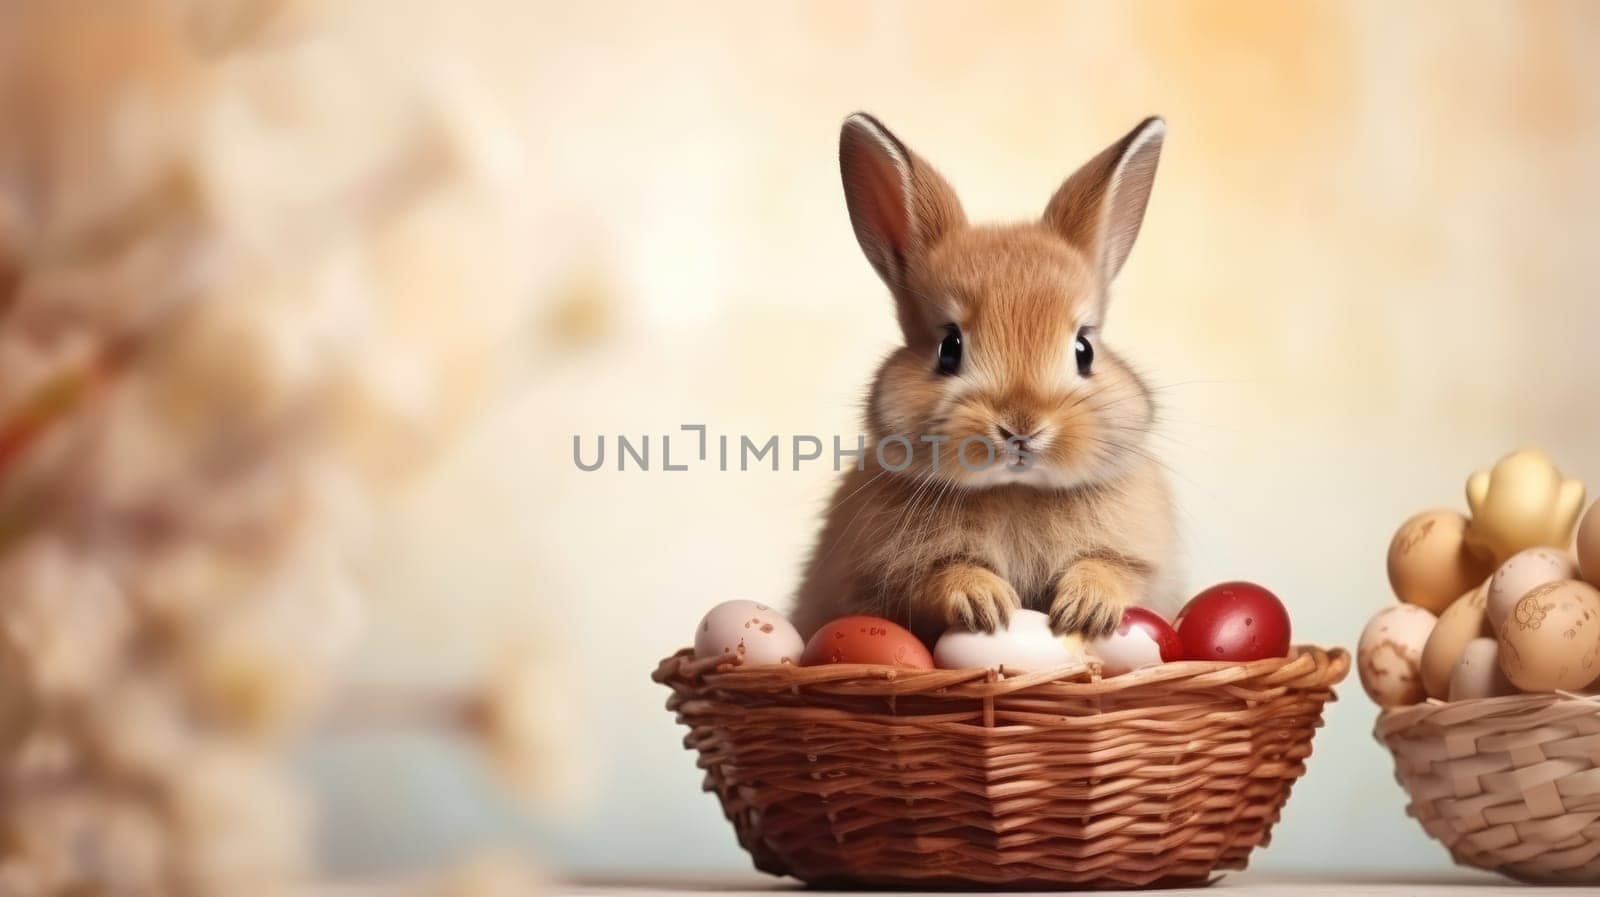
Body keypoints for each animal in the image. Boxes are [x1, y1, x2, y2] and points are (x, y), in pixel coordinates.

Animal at [793, 113, 1184, 642]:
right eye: (949, 348)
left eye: (1083, 349)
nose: (1022, 427)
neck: (1015, 490)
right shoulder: (888, 578)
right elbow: (936, 580)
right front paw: (986, 604)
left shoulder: (1140, 562)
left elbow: (1115, 570)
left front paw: (1085, 609)